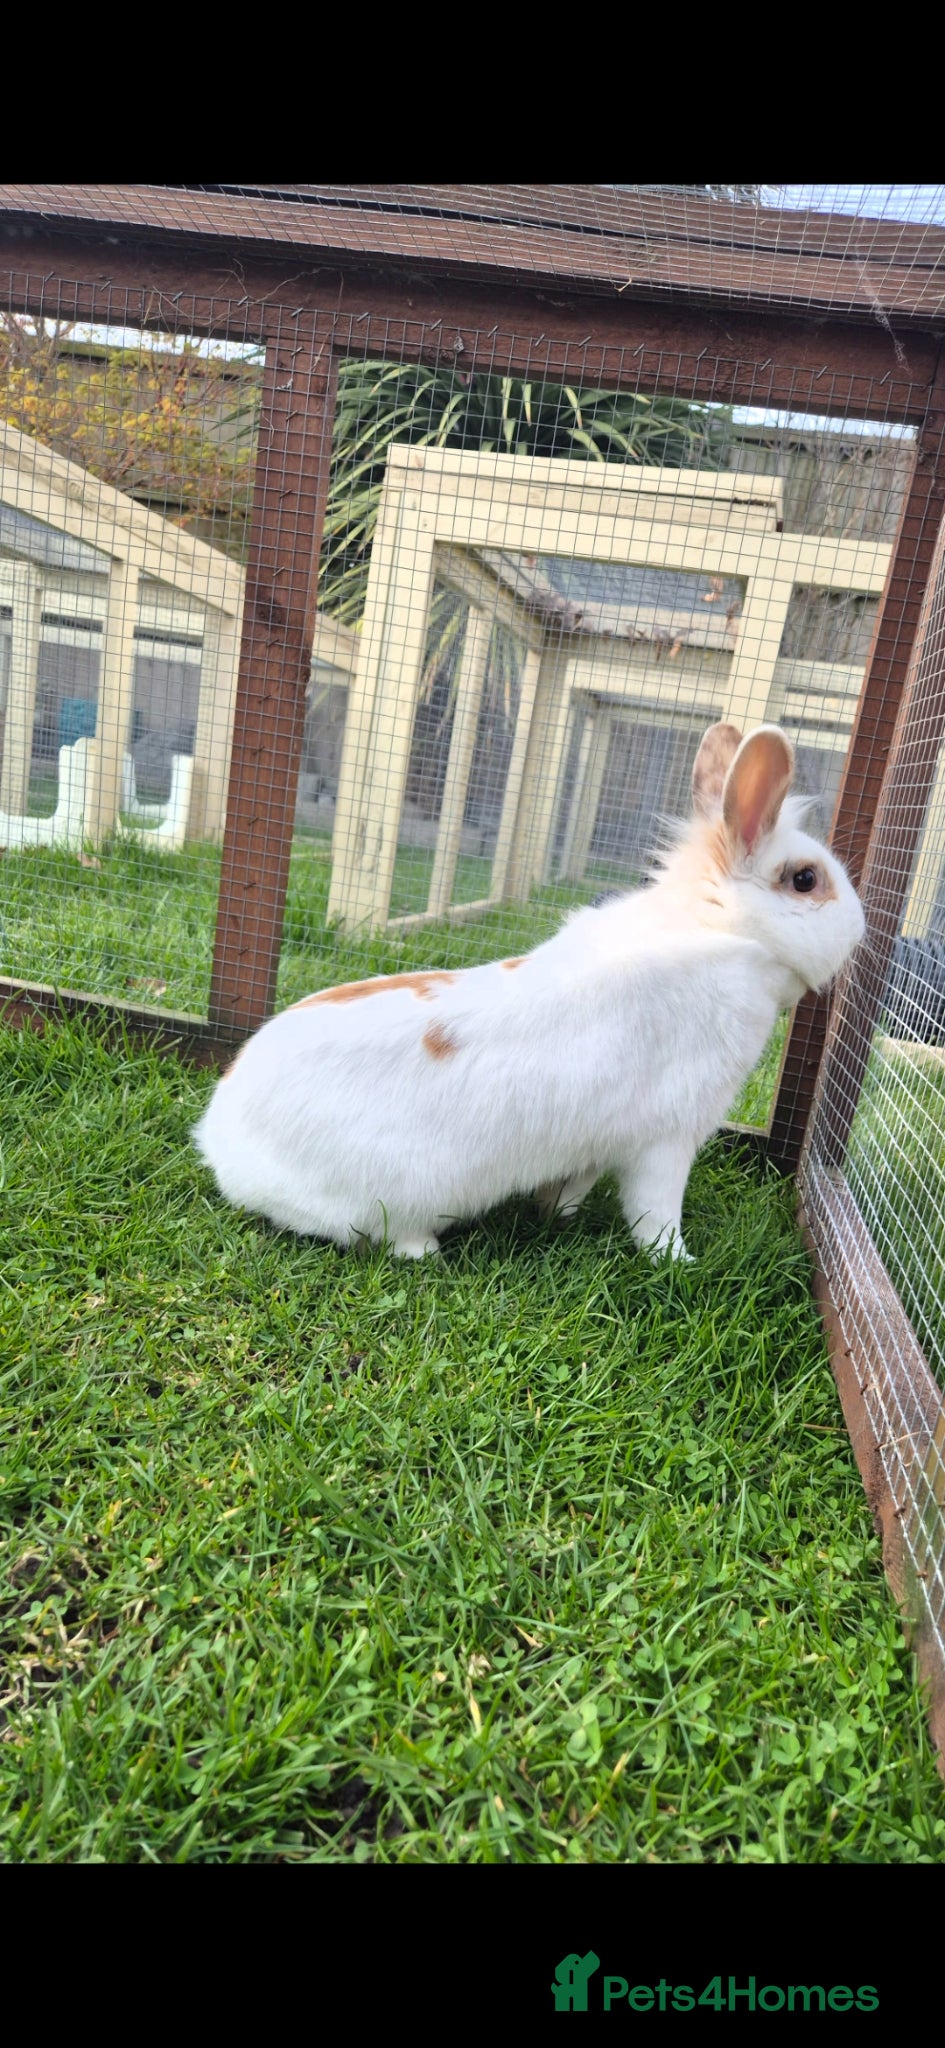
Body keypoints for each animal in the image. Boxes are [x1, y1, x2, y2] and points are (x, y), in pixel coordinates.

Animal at [193, 722, 865, 1262]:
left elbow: (572, 1187)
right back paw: (426, 1250)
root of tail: (223, 1144)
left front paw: (557, 1216)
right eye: (806, 880)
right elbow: (654, 1213)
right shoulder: (668, 1138)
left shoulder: (597, 1149)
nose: (861, 927)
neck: (724, 934)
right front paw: (679, 1262)